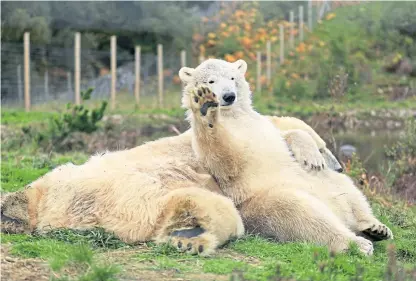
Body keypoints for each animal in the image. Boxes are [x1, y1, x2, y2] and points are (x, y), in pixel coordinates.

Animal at [180, 58, 394, 255]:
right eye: (211, 81)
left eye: (232, 78)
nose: (229, 96)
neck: (233, 116)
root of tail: (337, 212)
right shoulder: (220, 151)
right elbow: (224, 158)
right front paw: (205, 107)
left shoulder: (260, 122)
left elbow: (286, 134)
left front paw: (312, 157)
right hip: (263, 204)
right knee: (303, 214)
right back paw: (357, 243)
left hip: (326, 183)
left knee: (347, 189)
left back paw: (375, 228)